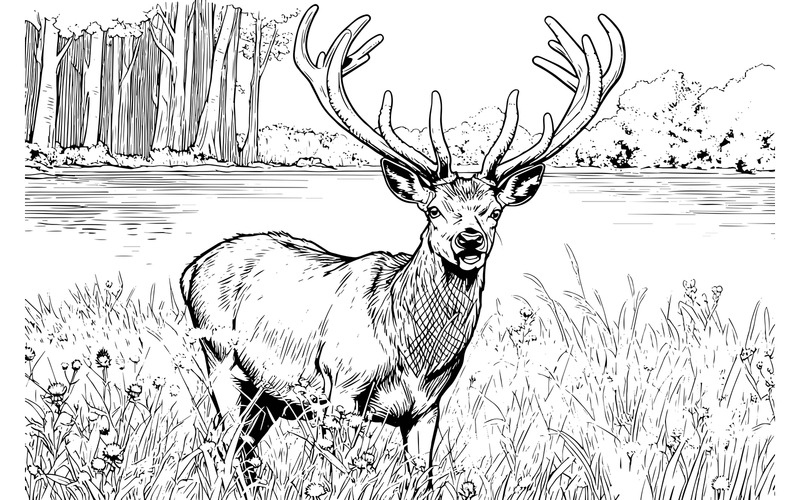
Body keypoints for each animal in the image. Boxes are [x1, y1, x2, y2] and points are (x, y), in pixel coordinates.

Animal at [180, 4, 624, 485]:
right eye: (432, 210)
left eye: (494, 211)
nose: (470, 240)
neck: (412, 353)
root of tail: (190, 269)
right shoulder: (339, 386)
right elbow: (340, 474)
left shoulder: (427, 408)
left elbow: (422, 477)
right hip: (221, 359)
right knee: (224, 446)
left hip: (268, 399)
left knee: (242, 450)